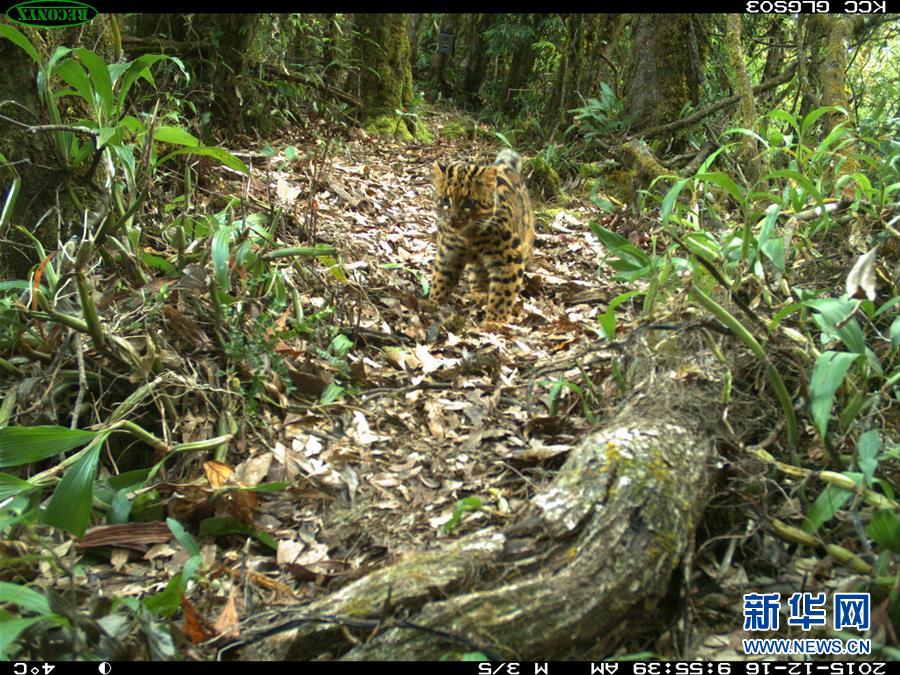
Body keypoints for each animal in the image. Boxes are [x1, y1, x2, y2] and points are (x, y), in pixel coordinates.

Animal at [428, 151, 536, 324]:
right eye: (445, 200)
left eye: (469, 202)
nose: (452, 218)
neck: (469, 236)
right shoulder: (448, 253)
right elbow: (441, 279)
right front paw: (432, 303)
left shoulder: (508, 261)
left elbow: (502, 295)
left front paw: (494, 323)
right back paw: (478, 294)